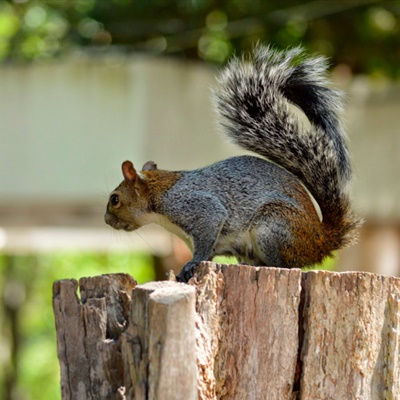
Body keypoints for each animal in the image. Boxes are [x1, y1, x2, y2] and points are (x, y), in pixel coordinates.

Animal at [104, 45, 361, 283]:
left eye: (115, 199)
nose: (107, 221)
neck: (158, 193)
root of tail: (320, 240)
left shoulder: (196, 207)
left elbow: (207, 236)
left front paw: (192, 264)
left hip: (274, 226)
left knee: (287, 265)